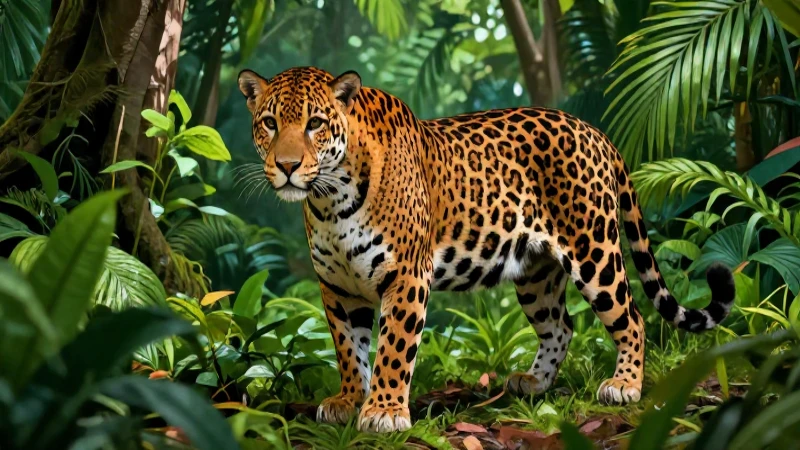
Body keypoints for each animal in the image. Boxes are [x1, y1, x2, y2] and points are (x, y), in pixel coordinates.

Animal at [237, 66, 736, 433]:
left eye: (315, 125)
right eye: (270, 123)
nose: (286, 166)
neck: (330, 200)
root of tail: (595, 130)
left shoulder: (406, 275)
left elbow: (393, 348)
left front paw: (384, 411)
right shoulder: (338, 286)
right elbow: (347, 347)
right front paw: (349, 399)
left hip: (594, 249)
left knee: (631, 317)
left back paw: (624, 384)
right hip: (536, 273)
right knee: (561, 325)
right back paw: (534, 381)